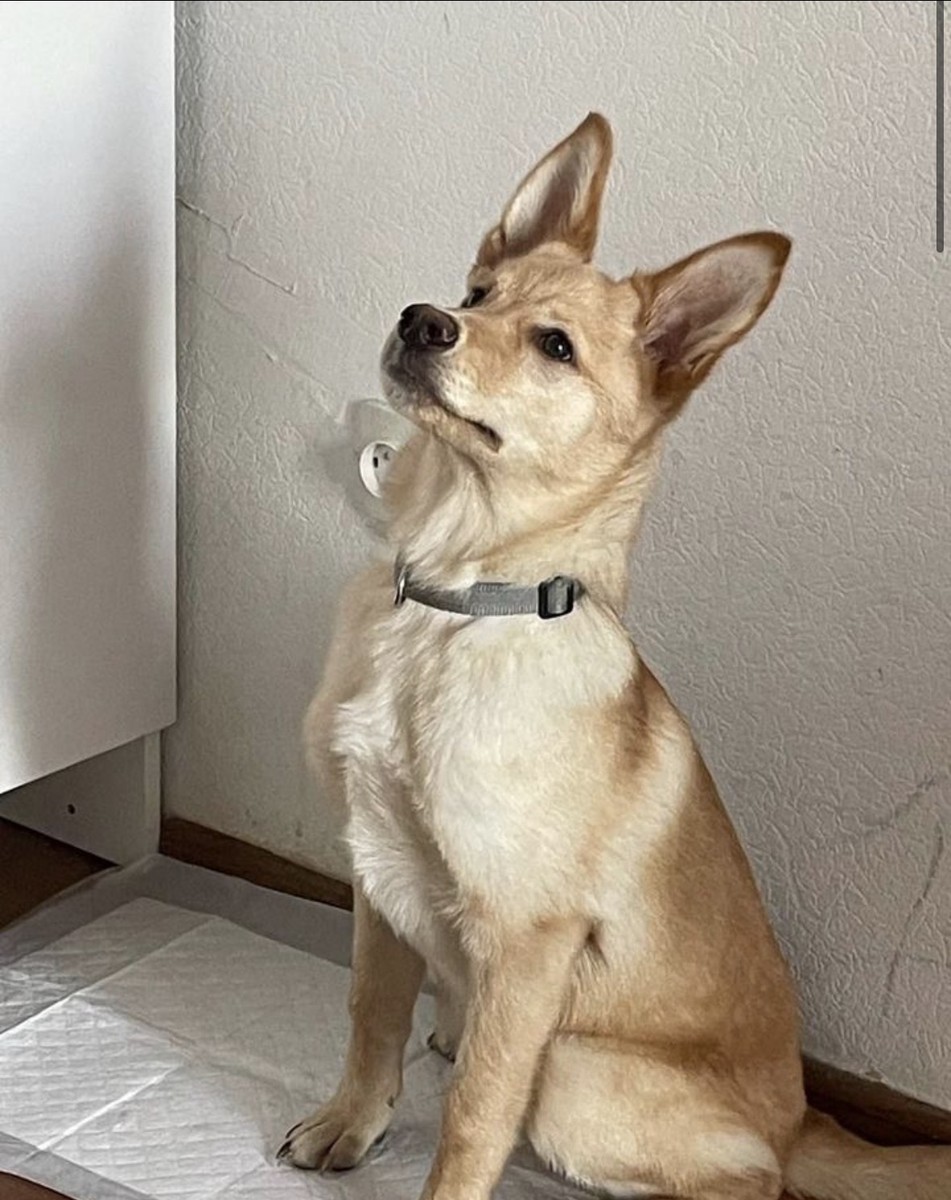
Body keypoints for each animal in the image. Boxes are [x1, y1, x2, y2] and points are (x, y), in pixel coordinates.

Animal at [280, 115, 951, 1199]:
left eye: (555, 346)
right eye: (477, 293)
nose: (422, 320)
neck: (454, 606)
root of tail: (800, 1118)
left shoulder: (528, 943)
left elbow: (475, 1115)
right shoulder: (375, 872)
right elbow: (369, 1018)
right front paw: (351, 1124)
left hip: (574, 1069)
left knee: (746, 1180)